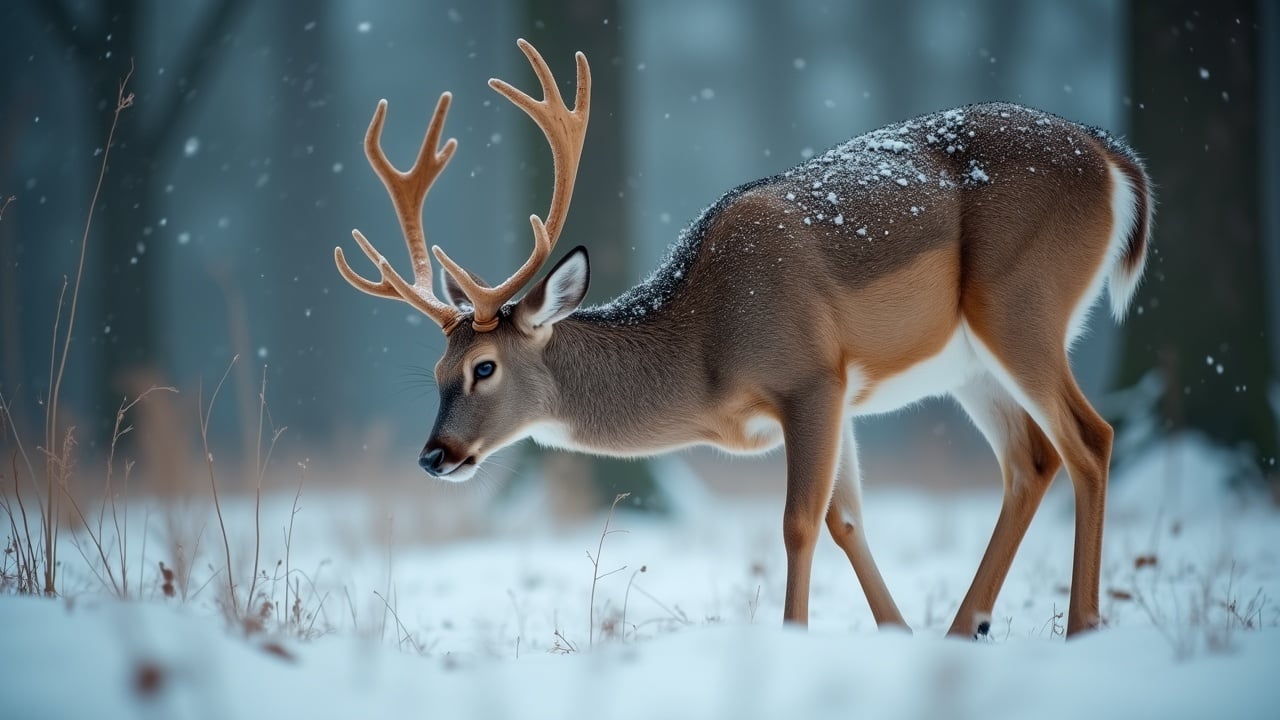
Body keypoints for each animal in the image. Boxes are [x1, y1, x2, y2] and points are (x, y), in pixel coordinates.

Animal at [335, 39, 1157, 635]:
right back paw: (967, 627)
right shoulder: (841, 395)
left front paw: (793, 637)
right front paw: (896, 635)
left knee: (1090, 439)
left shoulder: (810, 375)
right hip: (969, 365)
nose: (434, 455)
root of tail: (1117, 160)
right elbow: (847, 518)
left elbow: (798, 523)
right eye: (435, 371)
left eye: (483, 367)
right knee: (1031, 460)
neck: (708, 357)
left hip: (1022, 303)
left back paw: (1083, 625)